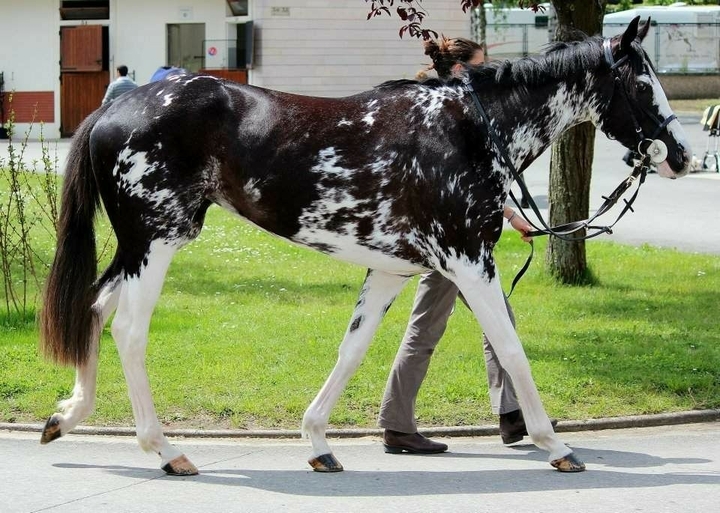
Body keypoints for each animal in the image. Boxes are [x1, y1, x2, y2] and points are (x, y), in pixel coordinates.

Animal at [38, 17, 690, 475]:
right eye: (641, 82)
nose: (681, 155)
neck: (467, 132)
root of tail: (116, 106)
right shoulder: (469, 263)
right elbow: (510, 348)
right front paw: (556, 444)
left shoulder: (394, 272)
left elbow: (352, 351)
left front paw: (319, 441)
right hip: (157, 240)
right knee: (128, 329)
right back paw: (165, 449)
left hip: (140, 246)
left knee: (94, 307)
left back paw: (67, 416)